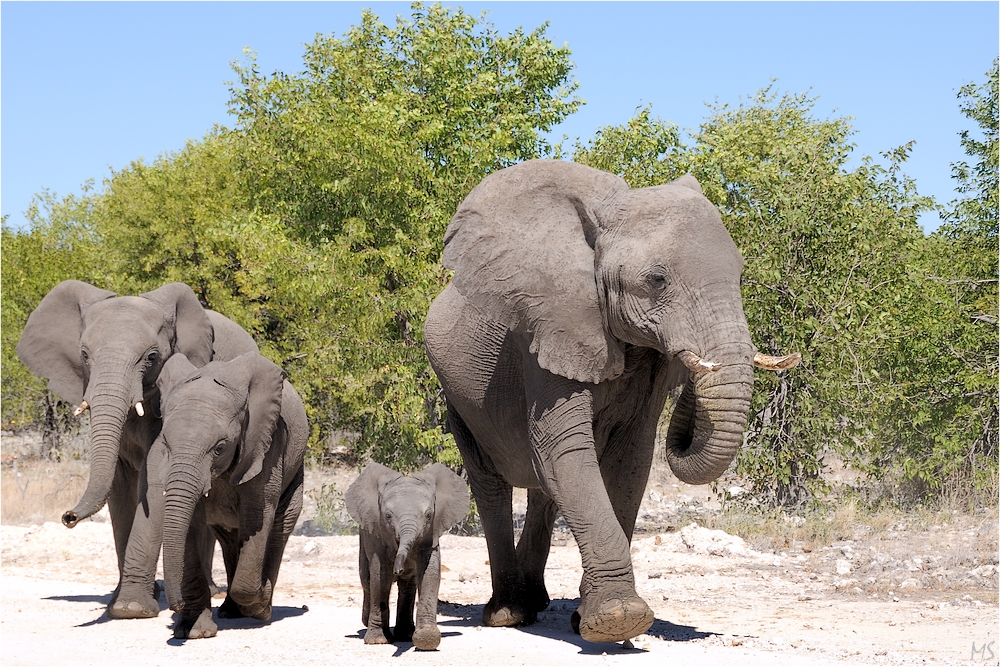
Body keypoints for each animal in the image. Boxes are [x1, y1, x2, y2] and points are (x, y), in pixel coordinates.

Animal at [16, 280, 258, 620]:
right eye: (84, 355)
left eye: (152, 357)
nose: (68, 516)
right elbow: (119, 488)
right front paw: (118, 601)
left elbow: (151, 482)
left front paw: (131, 608)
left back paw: (210, 592)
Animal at [147, 352, 304, 640]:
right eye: (166, 444)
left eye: (220, 448)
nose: (175, 605)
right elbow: (191, 526)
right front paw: (194, 632)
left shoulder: (267, 444)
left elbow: (257, 517)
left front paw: (260, 606)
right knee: (230, 539)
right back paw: (231, 611)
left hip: (295, 471)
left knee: (278, 530)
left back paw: (262, 606)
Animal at [344, 462, 468, 648]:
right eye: (387, 516)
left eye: (429, 515)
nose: (398, 570)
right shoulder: (376, 533)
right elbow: (380, 574)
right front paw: (377, 641)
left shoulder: (431, 533)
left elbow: (430, 571)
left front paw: (426, 639)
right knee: (366, 579)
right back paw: (367, 623)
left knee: (408, 585)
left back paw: (405, 635)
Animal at [426, 159, 800, 644]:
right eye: (657, 280)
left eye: (739, 276)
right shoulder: (549, 327)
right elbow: (565, 450)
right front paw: (619, 620)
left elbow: (628, 459)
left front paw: (589, 617)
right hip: (455, 392)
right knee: (491, 483)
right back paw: (509, 613)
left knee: (543, 487)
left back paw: (537, 602)